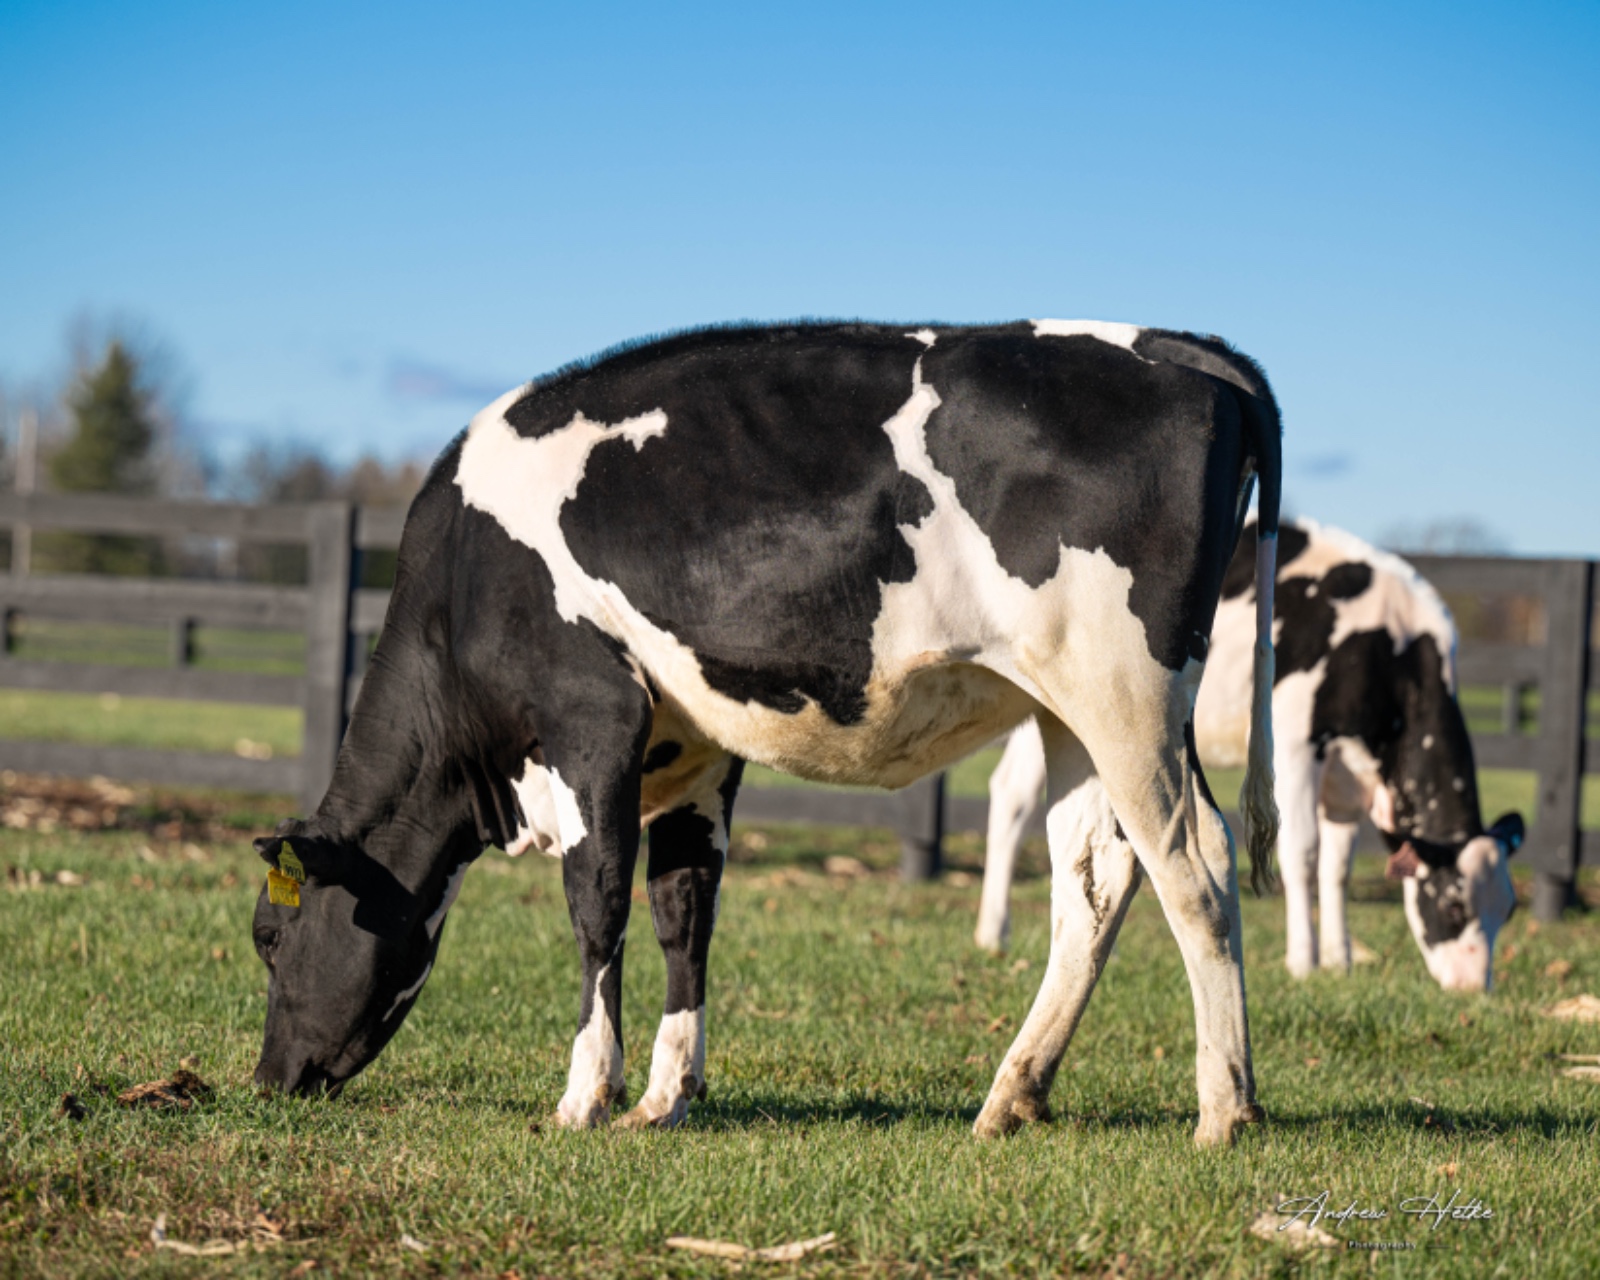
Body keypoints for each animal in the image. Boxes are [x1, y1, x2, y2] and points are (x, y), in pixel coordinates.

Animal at [250, 319, 1283, 1148]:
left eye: (269, 934)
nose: (268, 1082)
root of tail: (1187, 350)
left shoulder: (590, 712)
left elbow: (597, 904)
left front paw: (585, 1096)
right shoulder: (694, 748)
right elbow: (683, 908)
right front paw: (666, 1096)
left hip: (1126, 689)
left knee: (1196, 861)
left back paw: (1224, 1111)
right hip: (1068, 711)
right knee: (1095, 878)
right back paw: (1011, 1098)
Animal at [975, 516, 1525, 992]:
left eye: (1508, 910)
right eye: (1454, 907)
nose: (1475, 989)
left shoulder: (1347, 779)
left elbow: (1337, 867)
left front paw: (1341, 960)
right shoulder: (1298, 742)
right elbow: (1302, 852)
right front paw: (1304, 962)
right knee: (1014, 796)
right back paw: (994, 931)